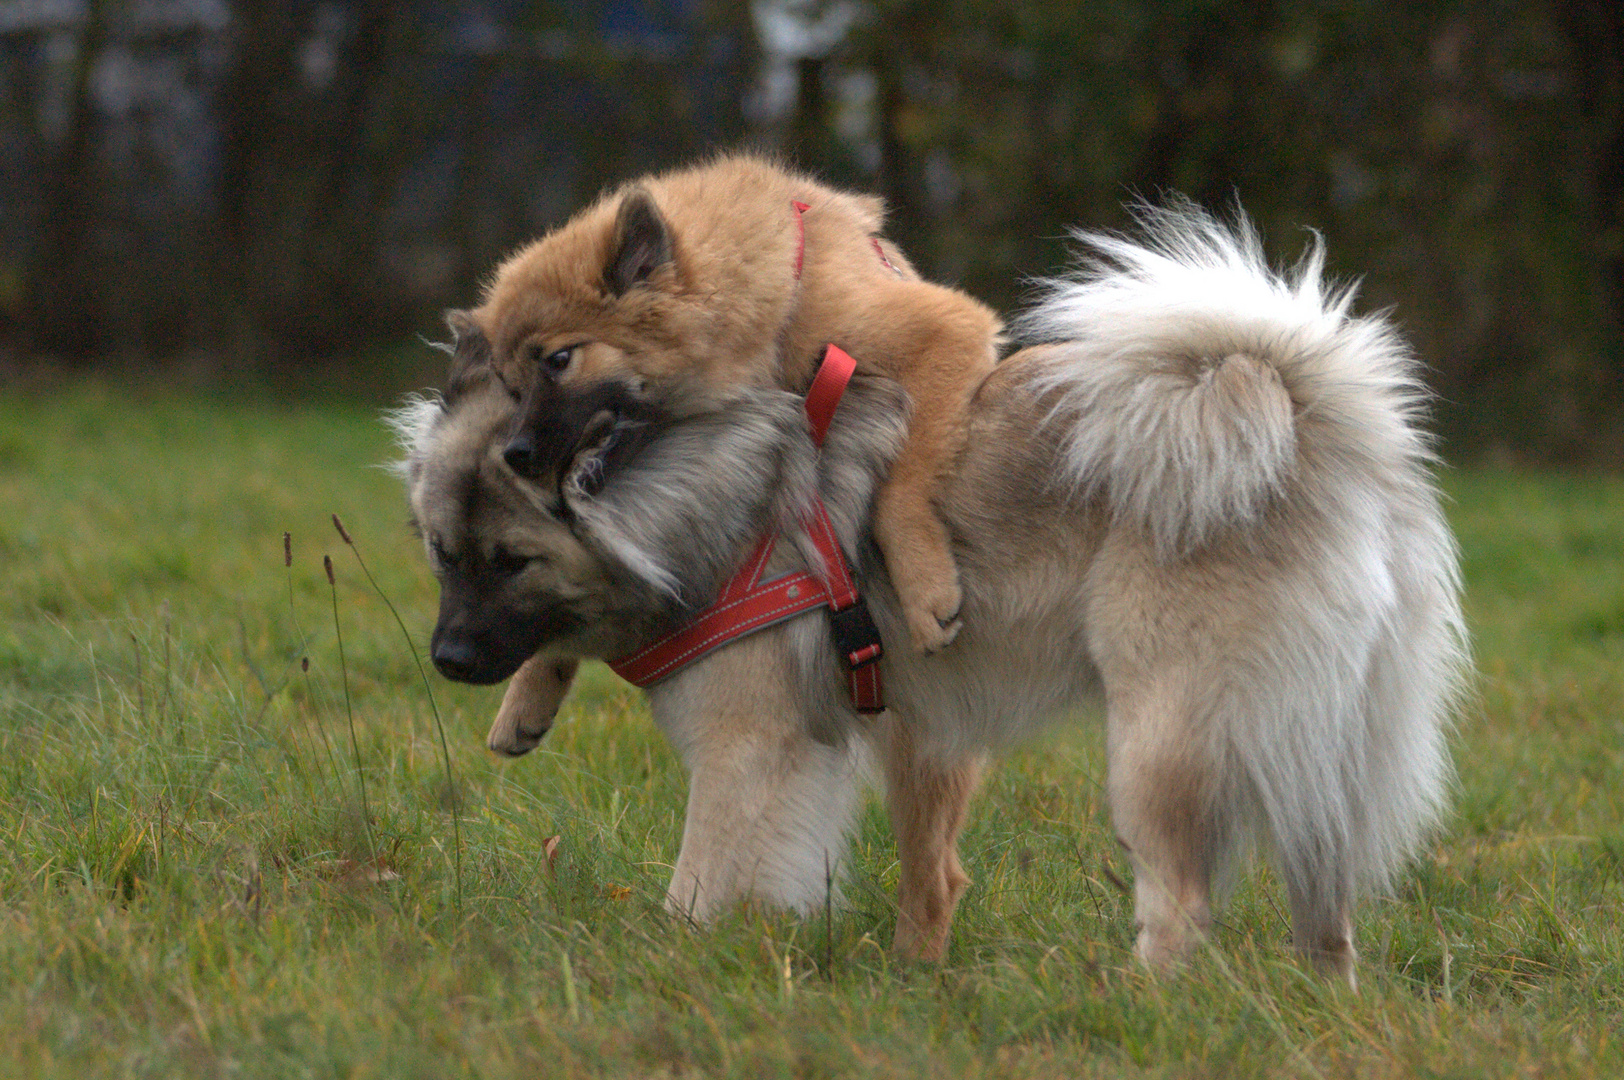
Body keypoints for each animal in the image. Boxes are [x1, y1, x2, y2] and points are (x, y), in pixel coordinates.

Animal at [448, 155, 1000, 662]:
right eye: (510, 388)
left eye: (559, 361)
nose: (514, 455)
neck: (782, 301)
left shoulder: (943, 331)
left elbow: (900, 488)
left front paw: (923, 592)